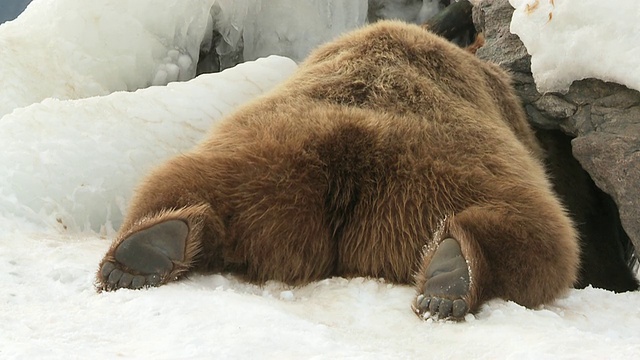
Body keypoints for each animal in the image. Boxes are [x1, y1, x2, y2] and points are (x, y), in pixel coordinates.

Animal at [95, 20, 580, 320]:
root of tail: (349, 160)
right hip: (453, 170)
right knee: (542, 235)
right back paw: (451, 280)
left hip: (264, 158)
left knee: (183, 181)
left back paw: (143, 252)